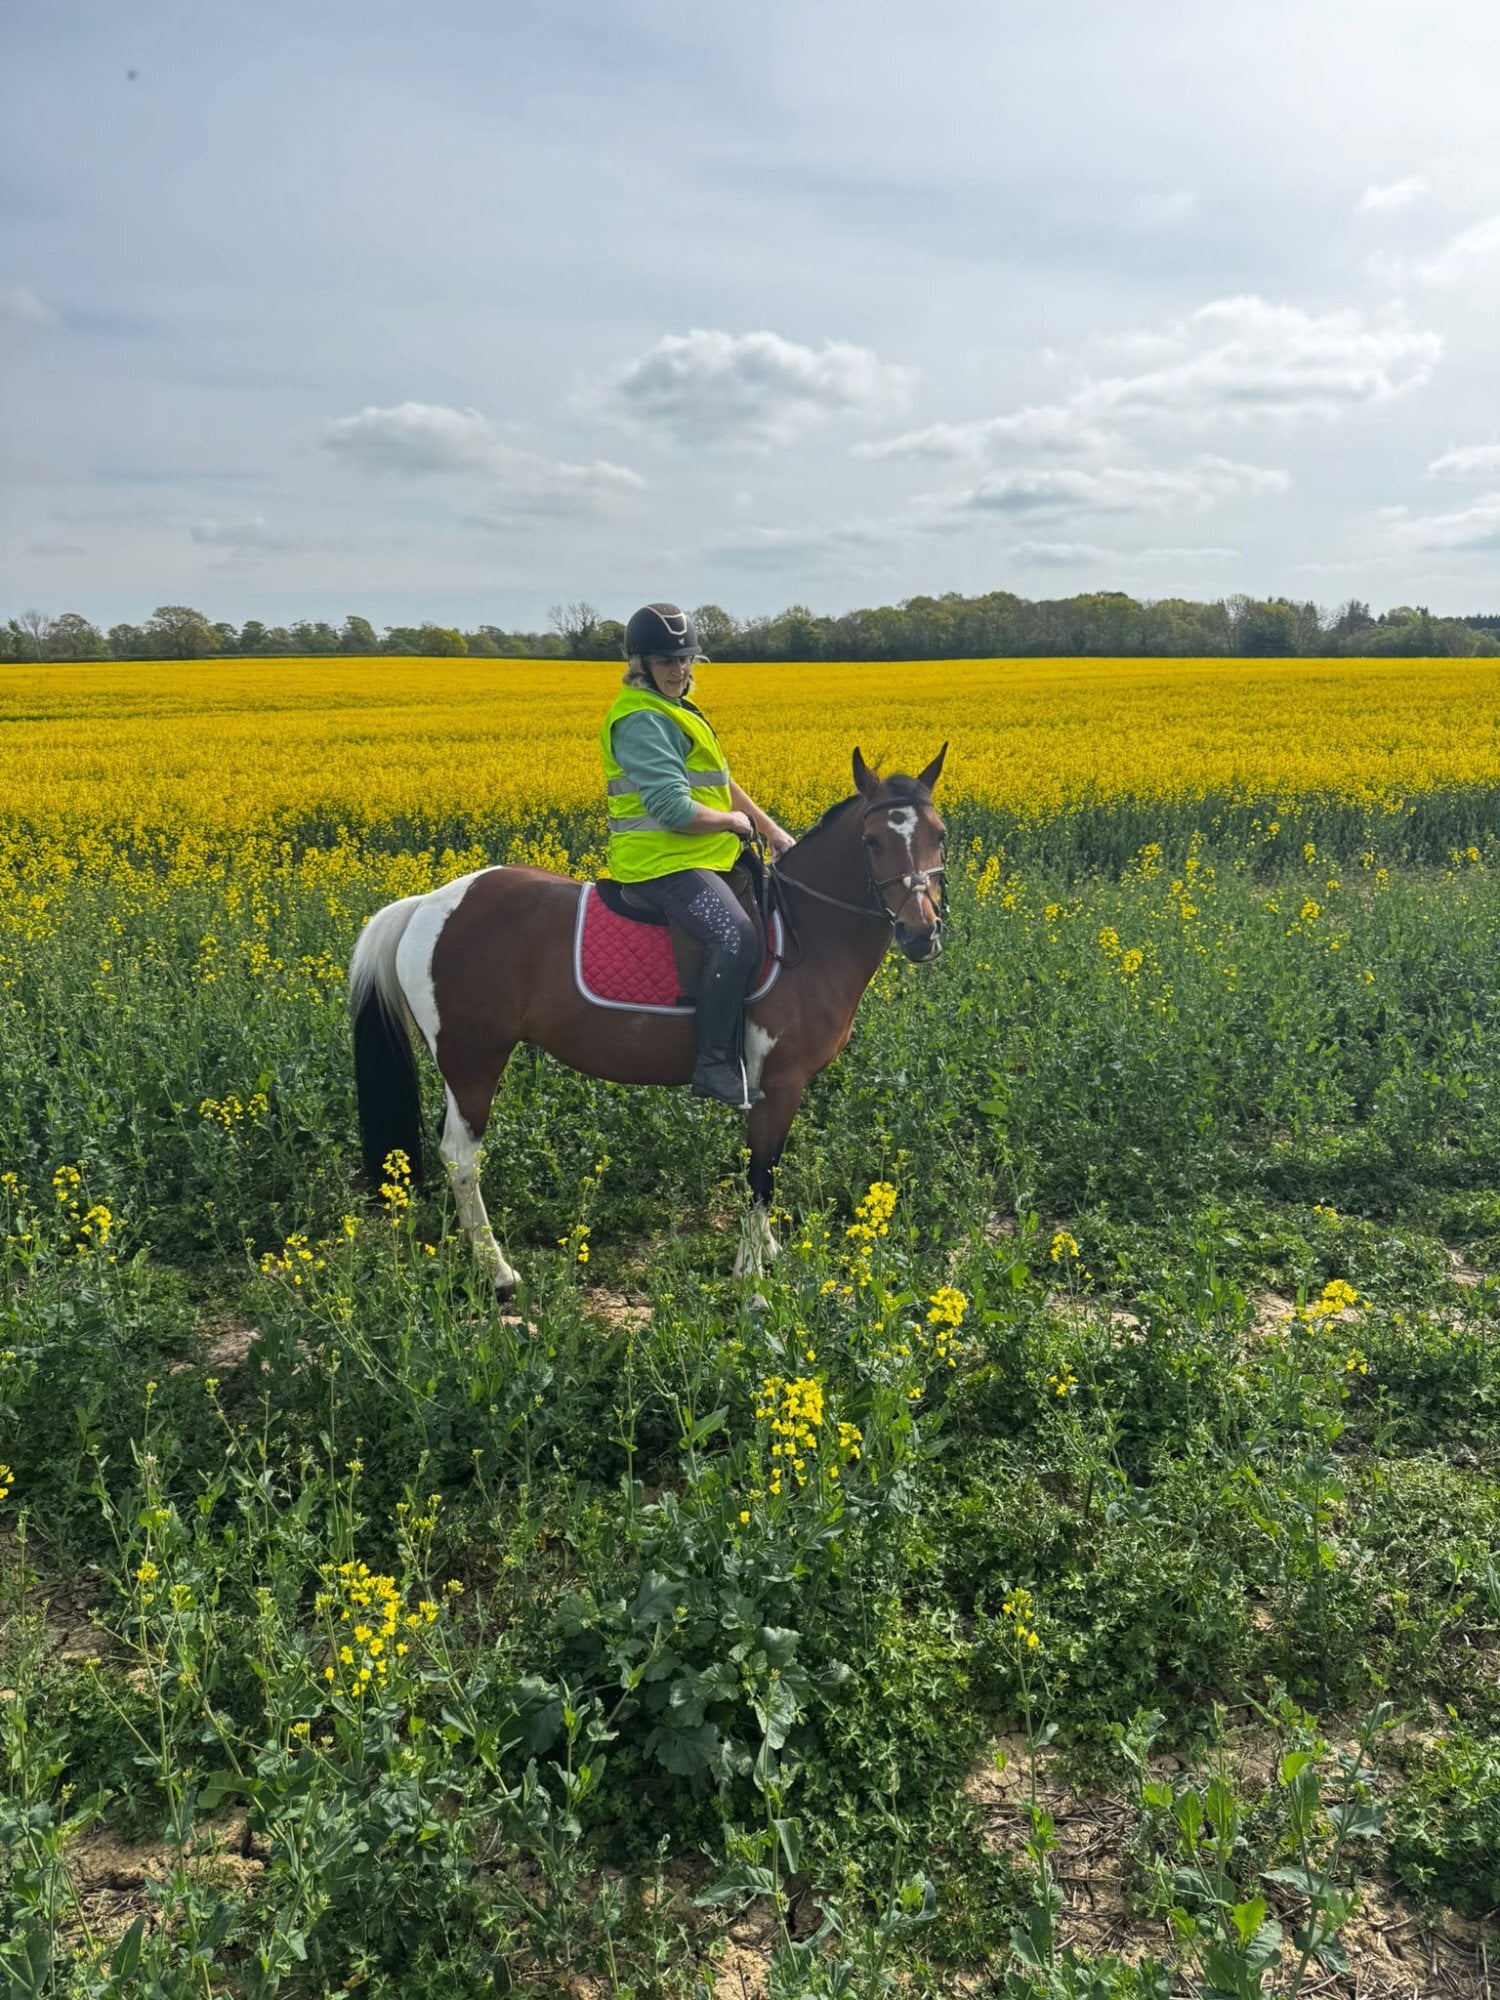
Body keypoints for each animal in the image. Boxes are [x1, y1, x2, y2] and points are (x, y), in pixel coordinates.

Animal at [348, 745, 948, 1297]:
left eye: (939, 835)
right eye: (872, 841)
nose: (921, 934)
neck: (807, 929)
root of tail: (428, 903)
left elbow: (765, 1168)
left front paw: (767, 1249)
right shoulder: (779, 1082)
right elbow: (761, 1173)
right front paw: (751, 1275)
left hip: (459, 1065)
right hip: (474, 1059)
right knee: (460, 1157)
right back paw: (499, 1273)